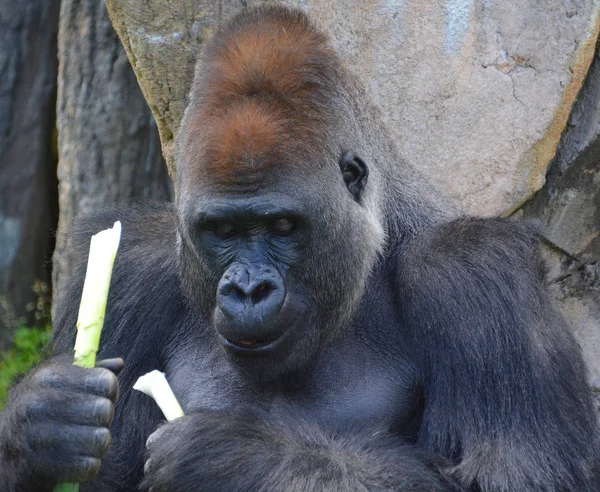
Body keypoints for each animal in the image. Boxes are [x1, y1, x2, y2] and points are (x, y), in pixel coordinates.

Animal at [1, 4, 600, 492]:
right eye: (223, 231)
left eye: (283, 225)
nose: (248, 289)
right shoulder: (132, 270)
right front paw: (40, 422)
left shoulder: (472, 272)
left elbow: (515, 475)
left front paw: (233, 459)